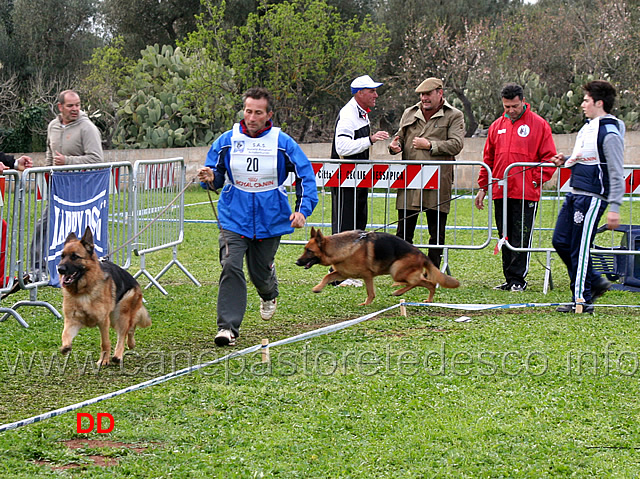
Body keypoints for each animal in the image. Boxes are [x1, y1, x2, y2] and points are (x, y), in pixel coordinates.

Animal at [57, 228, 151, 368]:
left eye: (75, 256)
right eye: (62, 256)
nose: (60, 269)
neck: (83, 291)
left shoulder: (103, 321)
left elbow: (105, 343)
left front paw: (104, 360)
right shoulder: (72, 321)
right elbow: (65, 334)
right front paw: (65, 347)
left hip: (120, 313)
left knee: (124, 332)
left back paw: (118, 355)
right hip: (113, 318)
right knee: (131, 327)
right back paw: (131, 343)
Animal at [298, 228, 458, 304]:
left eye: (309, 250)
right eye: (305, 249)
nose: (297, 262)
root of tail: (422, 255)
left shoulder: (367, 275)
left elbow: (370, 292)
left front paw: (366, 304)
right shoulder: (343, 273)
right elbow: (327, 277)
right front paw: (318, 288)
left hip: (396, 271)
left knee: (420, 282)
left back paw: (398, 292)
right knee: (427, 283)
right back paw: (427, 300)